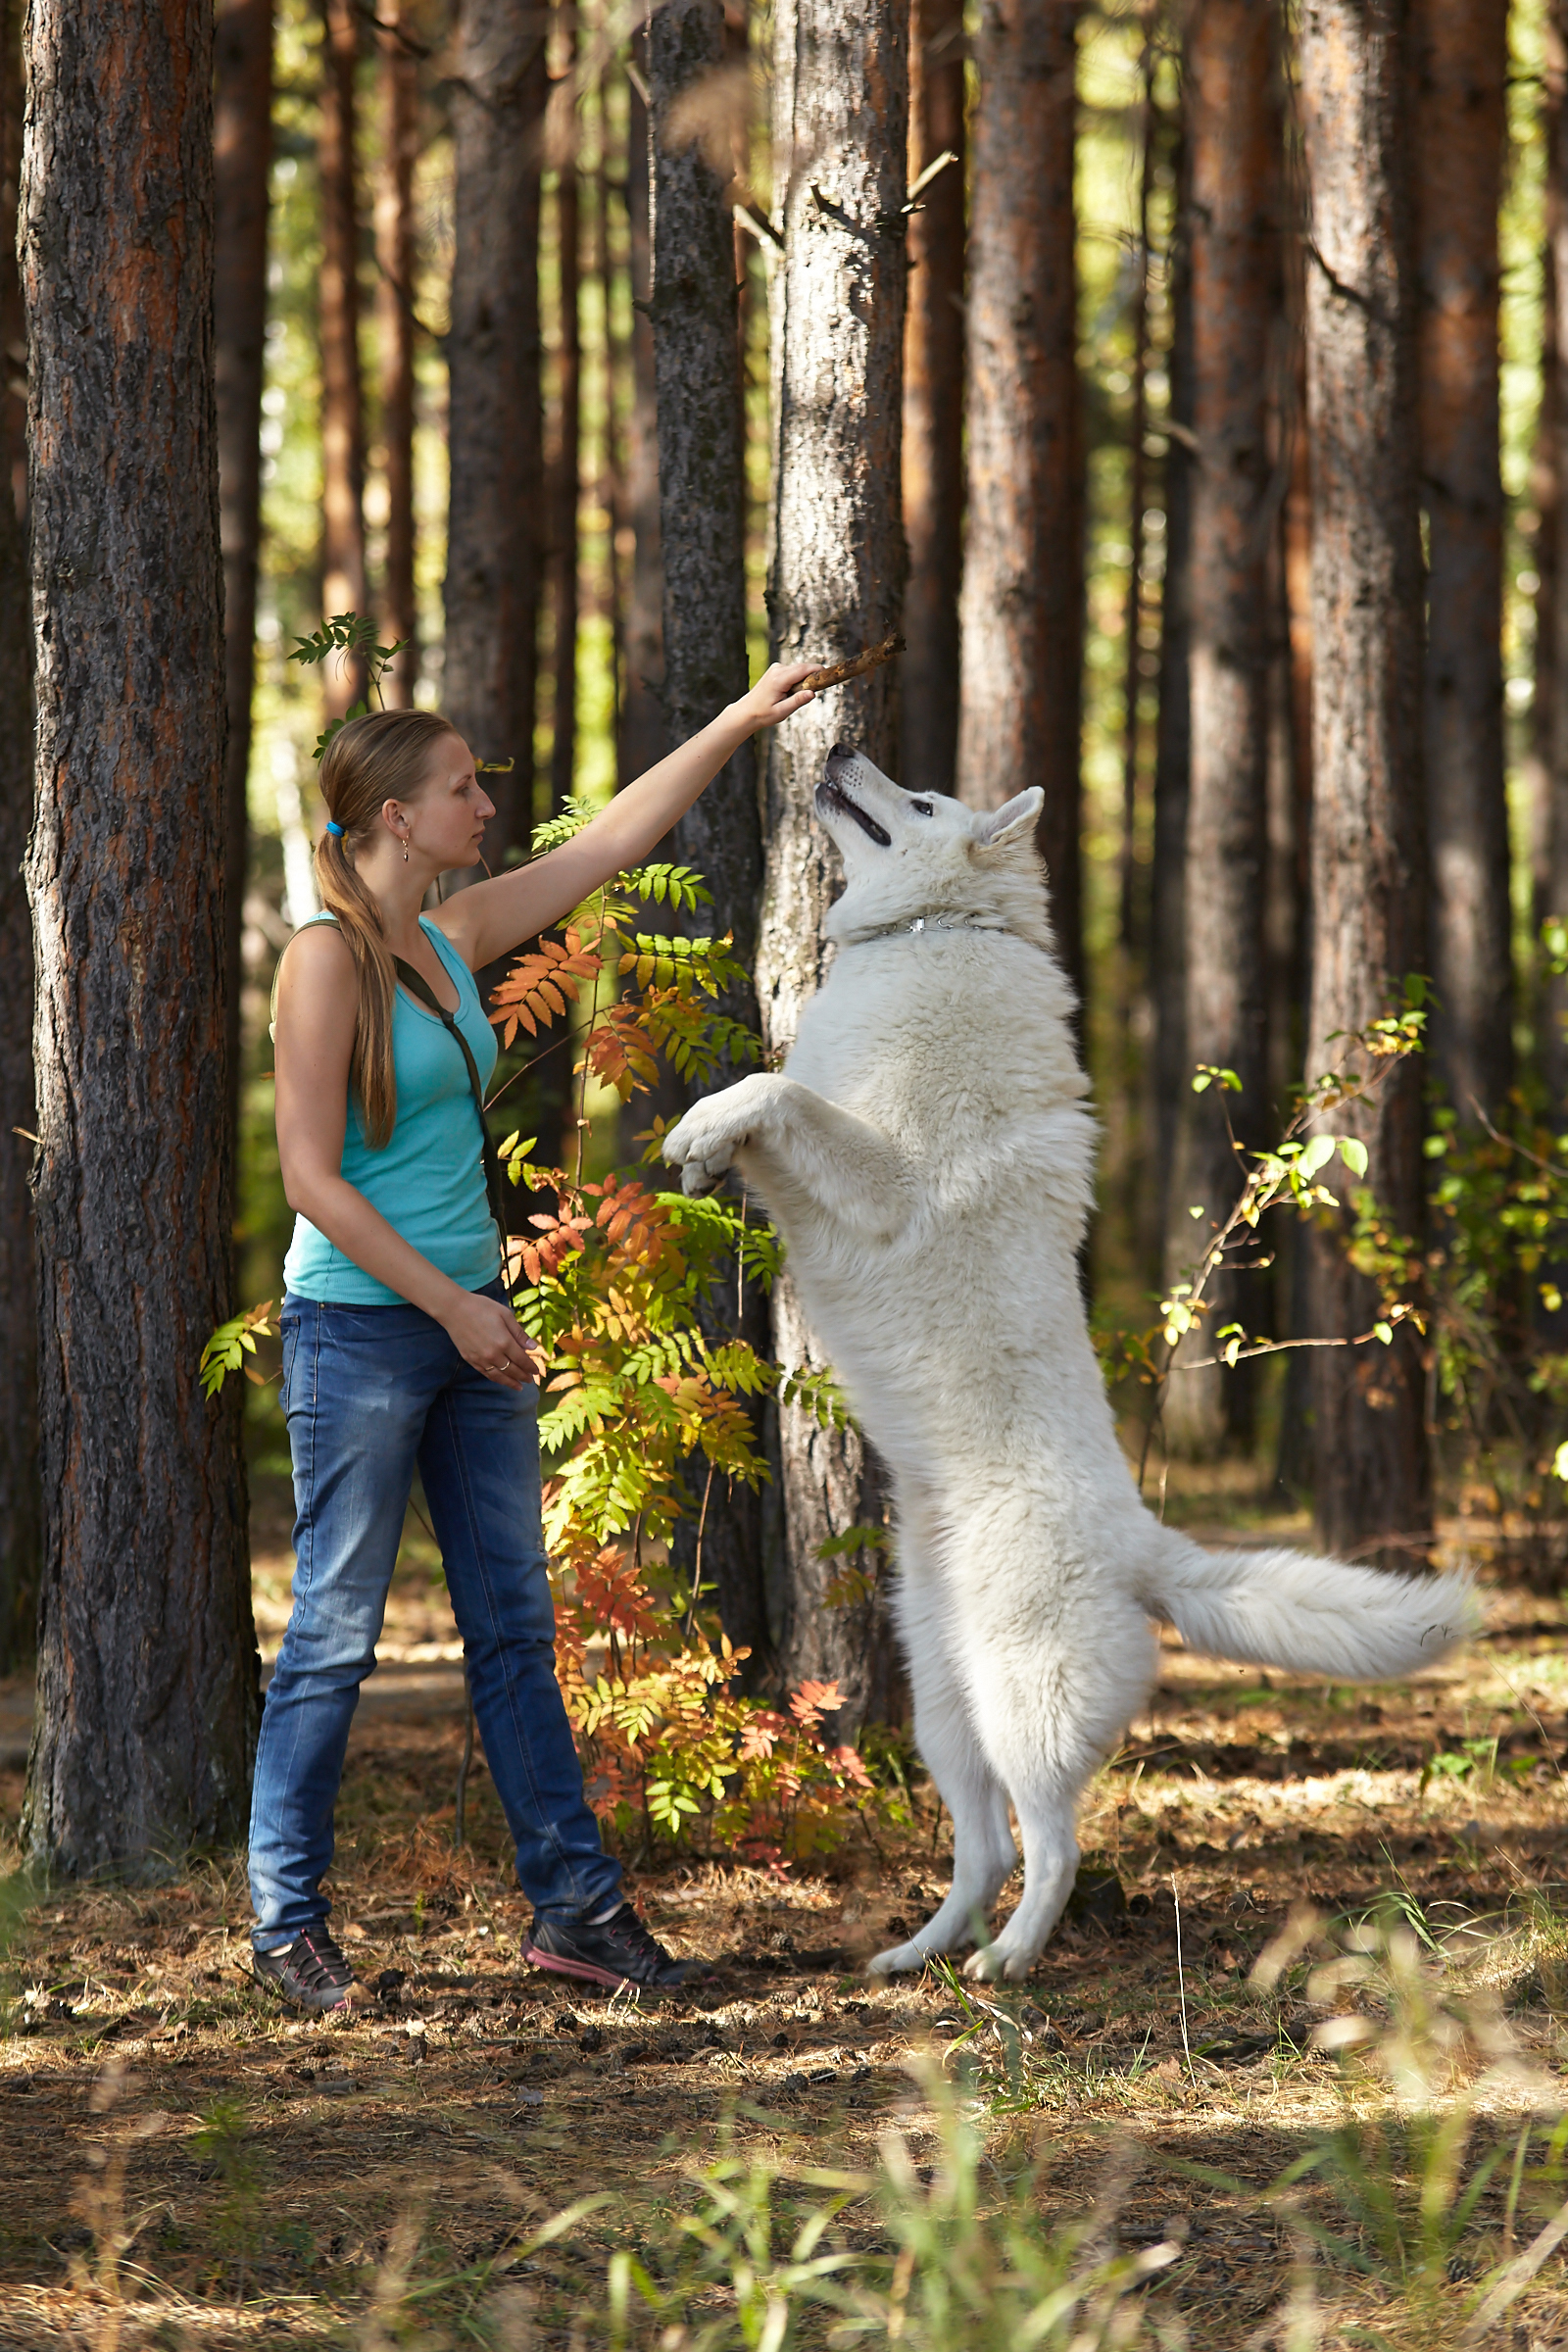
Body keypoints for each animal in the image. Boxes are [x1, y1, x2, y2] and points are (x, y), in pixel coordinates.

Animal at [658, 743, 1476, 1976]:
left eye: (922, 800)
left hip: (1021, 1707)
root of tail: (1146, 1550)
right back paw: (918, 1957)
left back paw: (1007, 1963)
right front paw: (702, 1150)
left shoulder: (882, 1177)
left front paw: (700, 1130)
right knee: (984, 1849)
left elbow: (774, 1088)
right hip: (943, 1707)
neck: (934, 935)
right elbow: (760, 1106)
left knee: (1051, 1847)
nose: (837, 750)